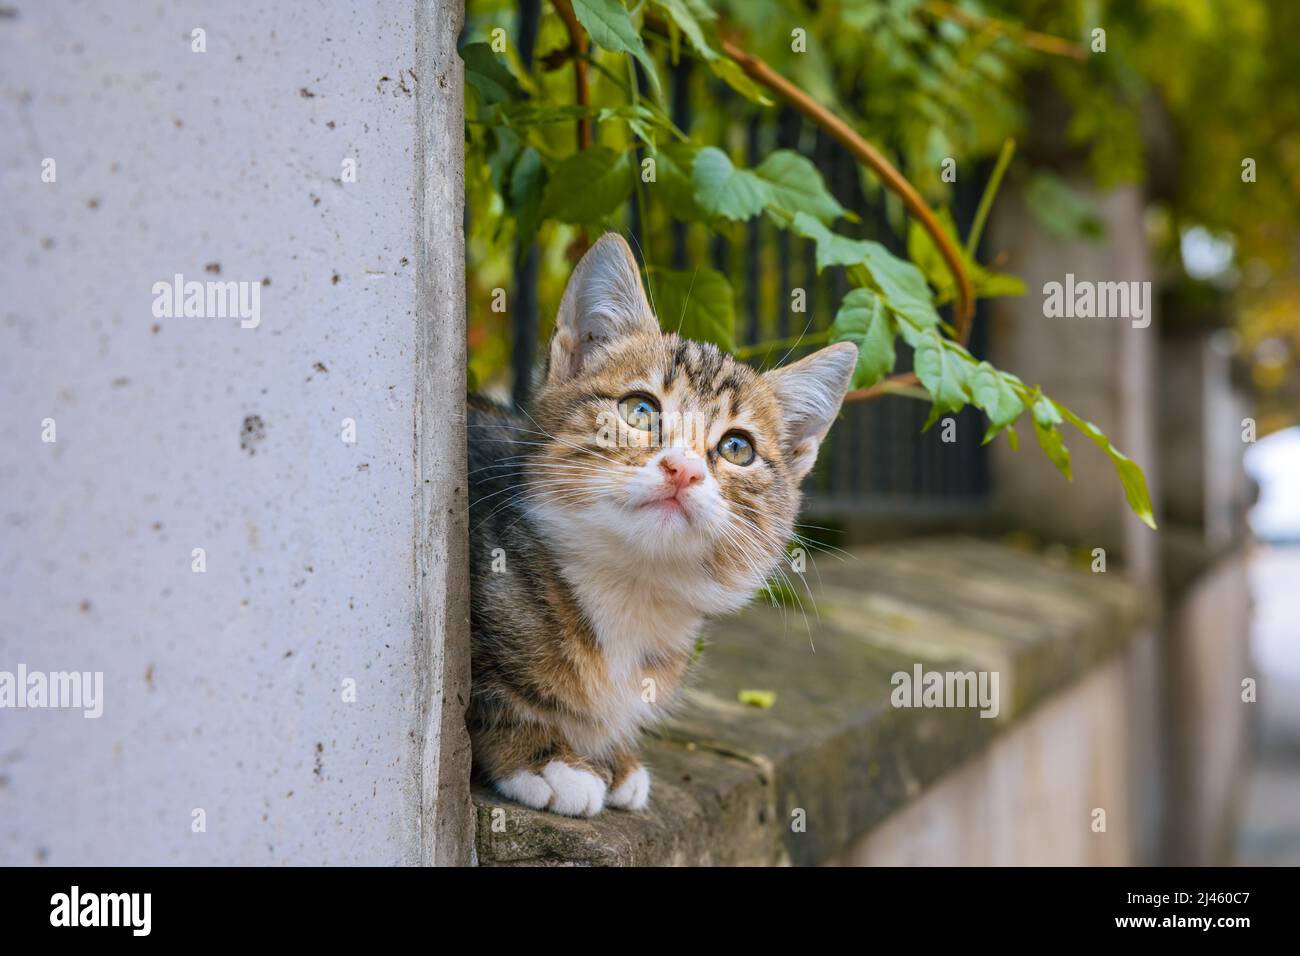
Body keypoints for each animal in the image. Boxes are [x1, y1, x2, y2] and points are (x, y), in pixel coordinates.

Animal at [467, 231, 852, 816]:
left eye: (737, 447)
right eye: (640, 410)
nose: (683, 469)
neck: (630, 588)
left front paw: (614, 755)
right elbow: (480, 693)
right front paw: (546, 757)